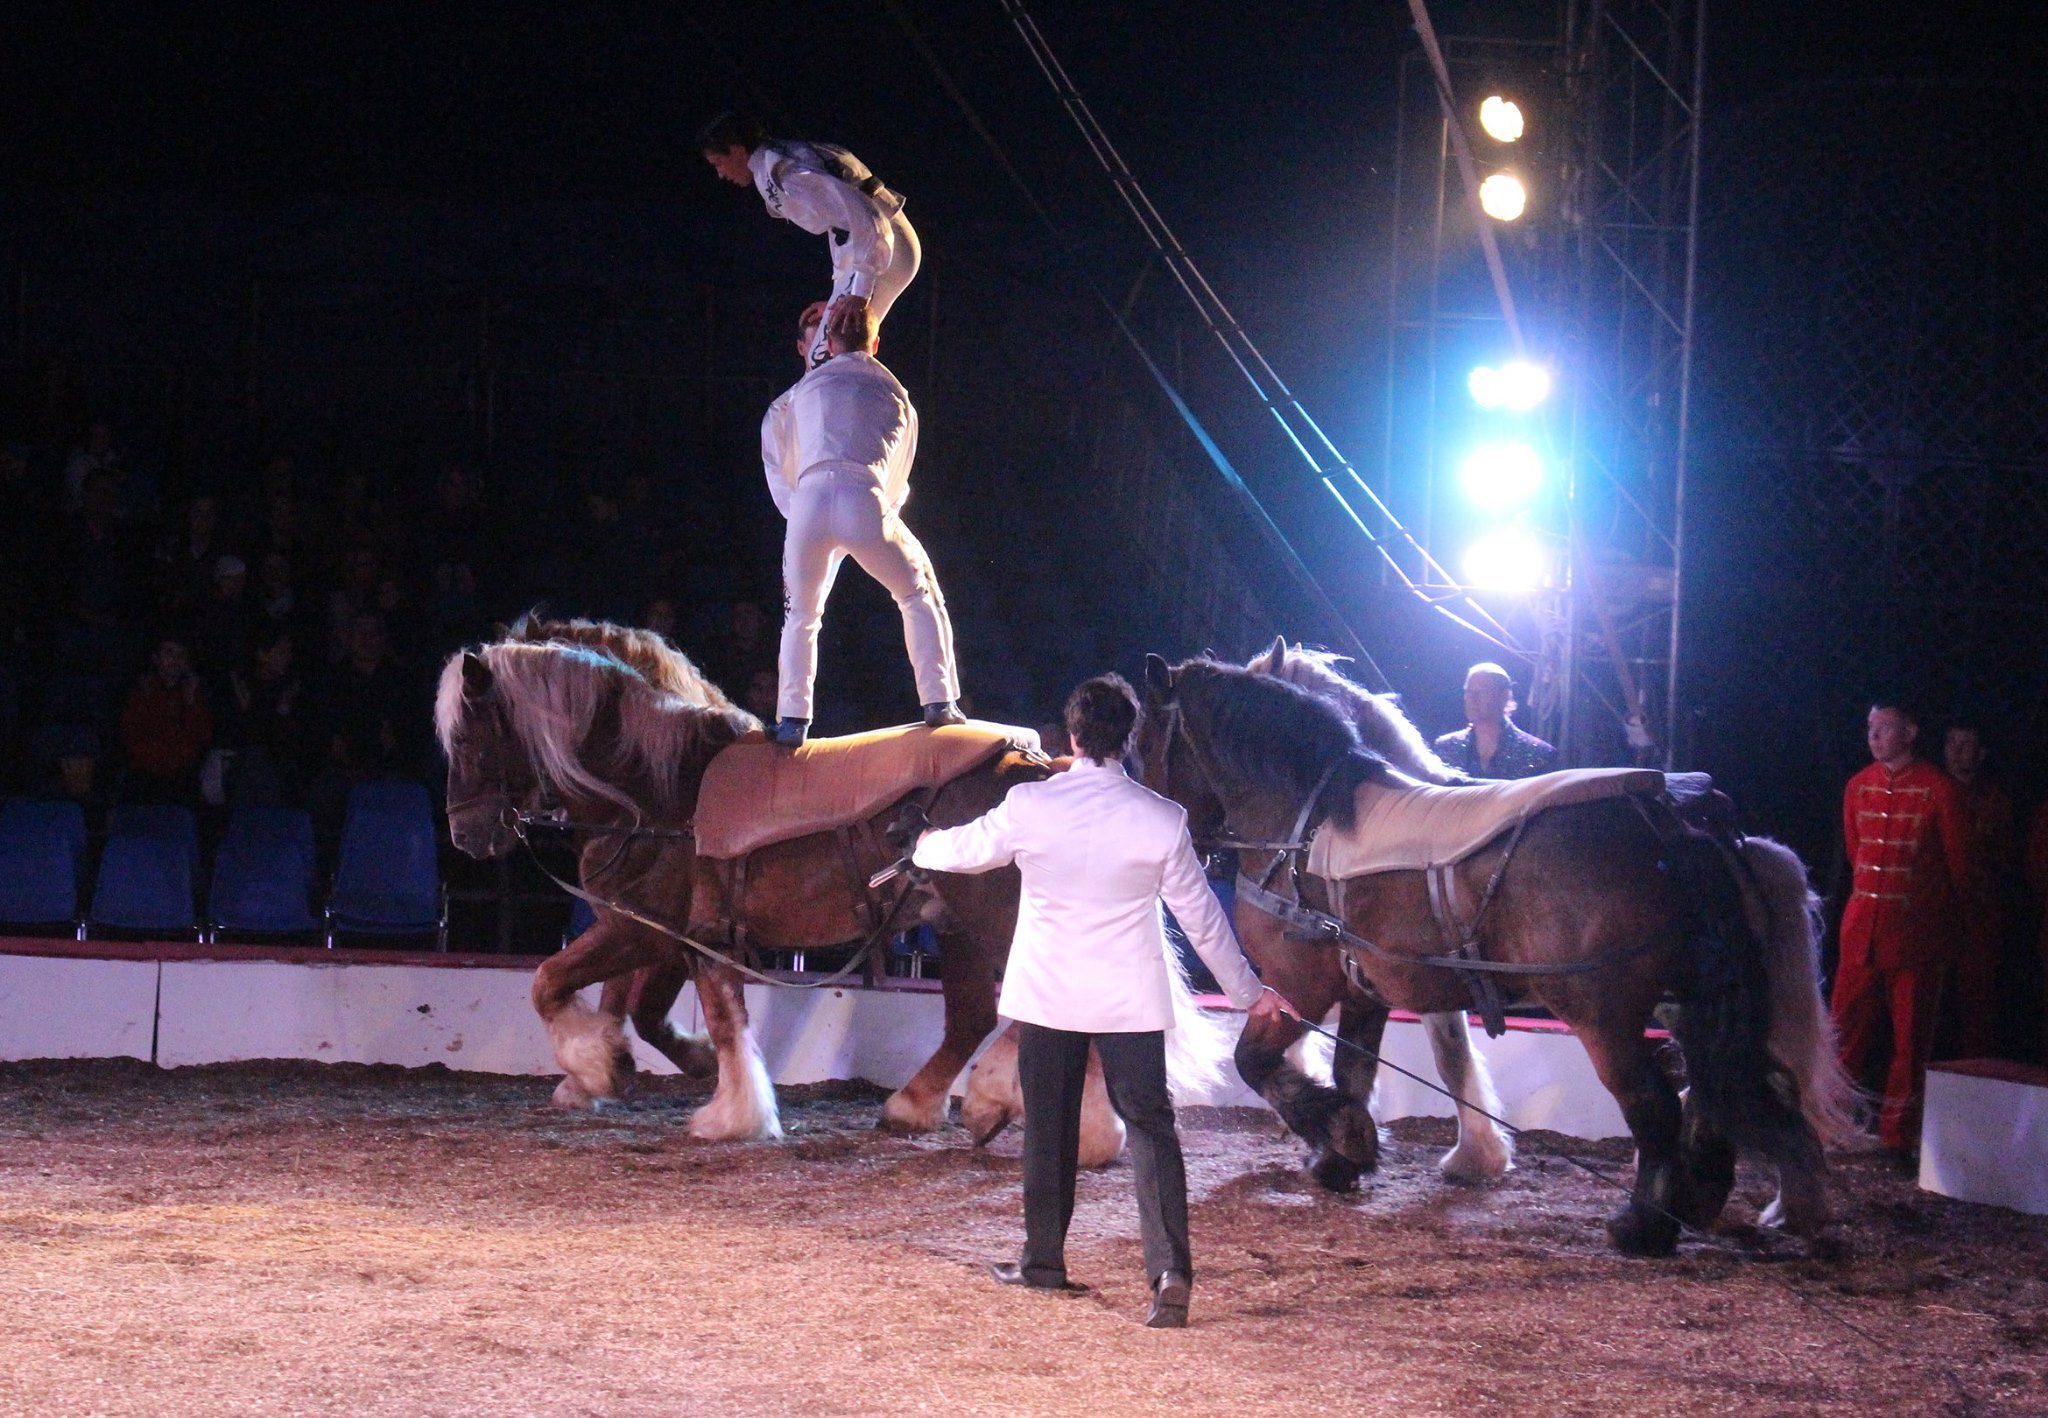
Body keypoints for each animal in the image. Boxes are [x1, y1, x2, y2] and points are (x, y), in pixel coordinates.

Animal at [1138, 651, 1859, 1254]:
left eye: (1146, 741)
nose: (1168, 821)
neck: (1309, 824)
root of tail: (1672, 822)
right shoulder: (1368, 992)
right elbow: (1355, 1071)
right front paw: (1346, 1150)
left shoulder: (1299, 986)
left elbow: (1259, 1063)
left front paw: (1343, 1134)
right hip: (1691, 1004)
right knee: (1739, 1087)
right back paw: (1756, 1199)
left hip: (1604, 1017)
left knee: (1658, 1103)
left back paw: (1646, 1223)